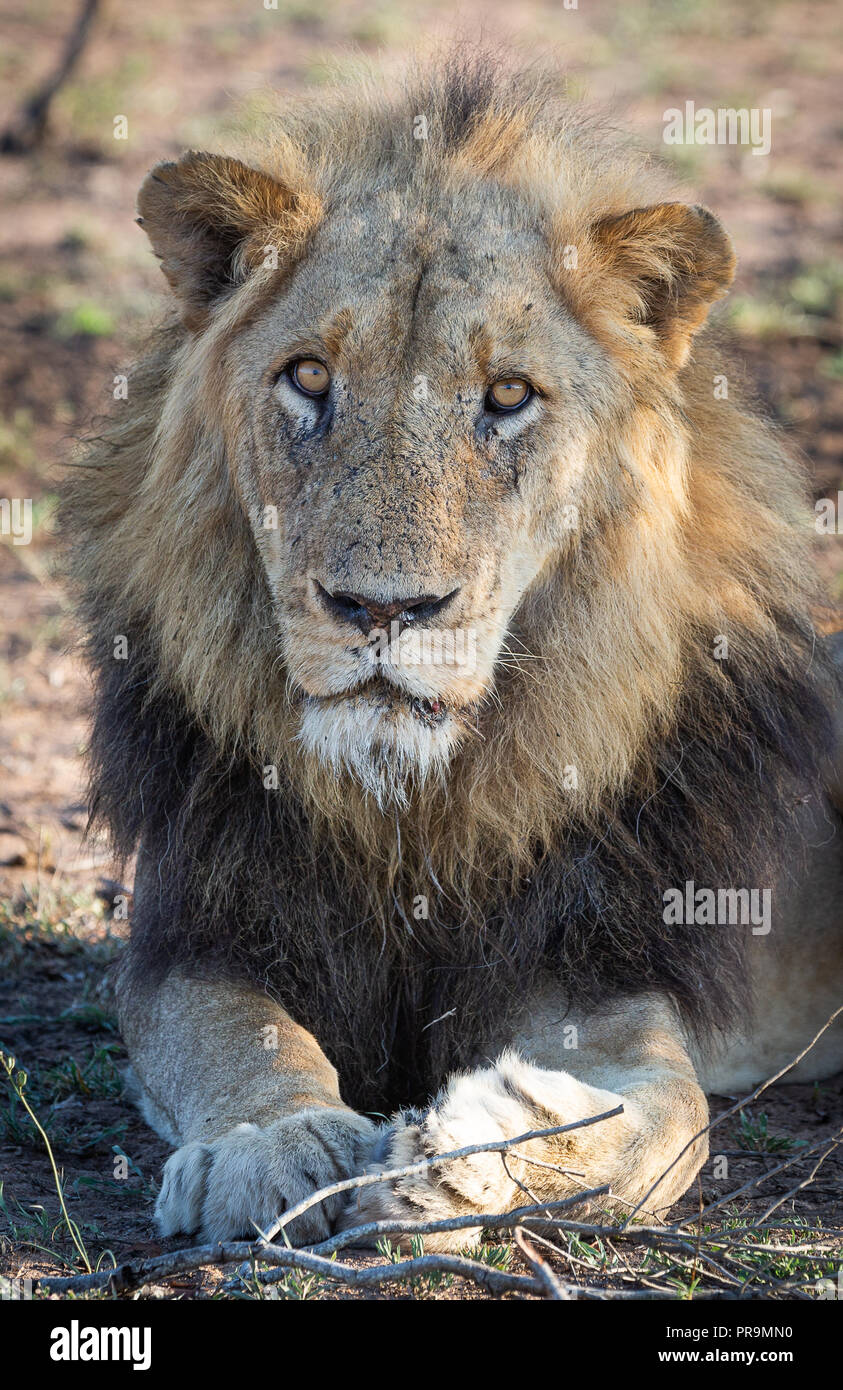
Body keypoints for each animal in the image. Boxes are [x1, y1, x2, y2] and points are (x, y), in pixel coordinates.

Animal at [62, 54, 843, 1250]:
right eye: (309, 377)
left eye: (508, 396)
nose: (383, 608)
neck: (415, 804)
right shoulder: (201, 931)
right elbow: (234, 1037)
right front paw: (272, 1141)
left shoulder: (599, 965)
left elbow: (663, 1117)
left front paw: (475, 1149)